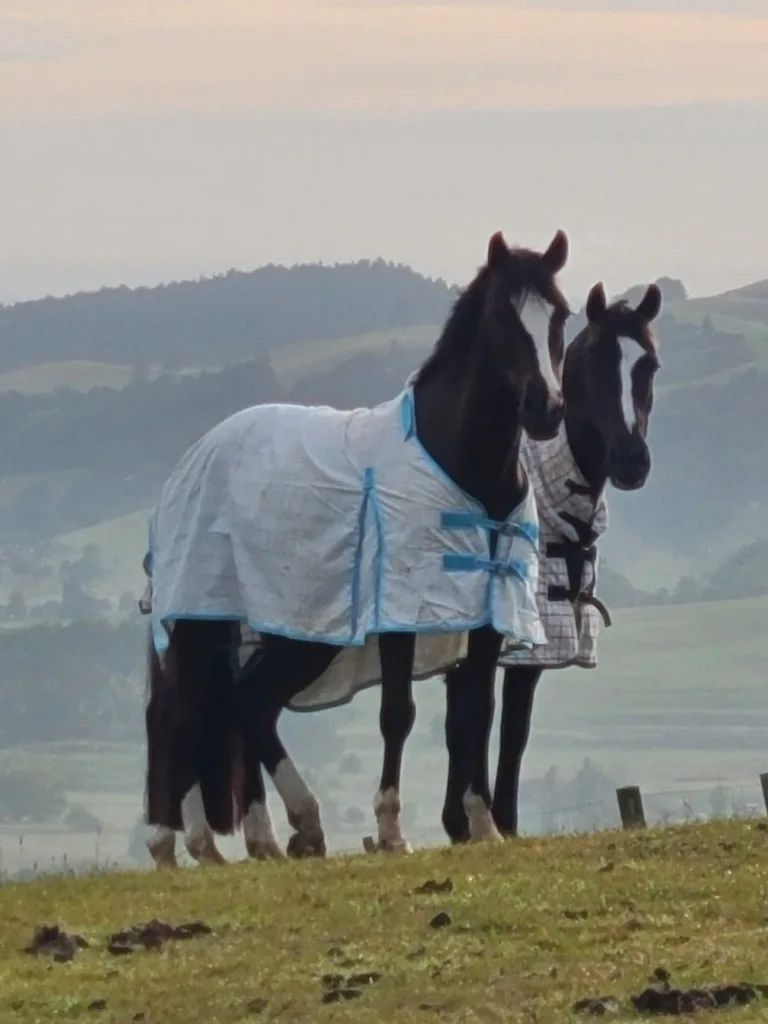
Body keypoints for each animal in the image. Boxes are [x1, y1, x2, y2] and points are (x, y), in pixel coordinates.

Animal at [143, 228, 571, 868]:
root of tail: (191, 462)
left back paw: (274, 834)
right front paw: (392, 830)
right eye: (502, 316)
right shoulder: (399, 614)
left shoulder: (485, 615)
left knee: (245, 704)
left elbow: (474, 715)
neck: (461, 464)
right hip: (203, 621)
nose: (546, 410)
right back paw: (202, 840)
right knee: (182, 714)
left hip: (295, 633)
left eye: (561, 315)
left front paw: (482, 823)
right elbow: (398, 714)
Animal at [440, 280, 663, 844]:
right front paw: (473, 821)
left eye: (648, 365)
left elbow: (511, 727)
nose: (632, 460)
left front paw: (494, 822)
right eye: (595, 362)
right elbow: (475, 716)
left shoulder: (527, 651)